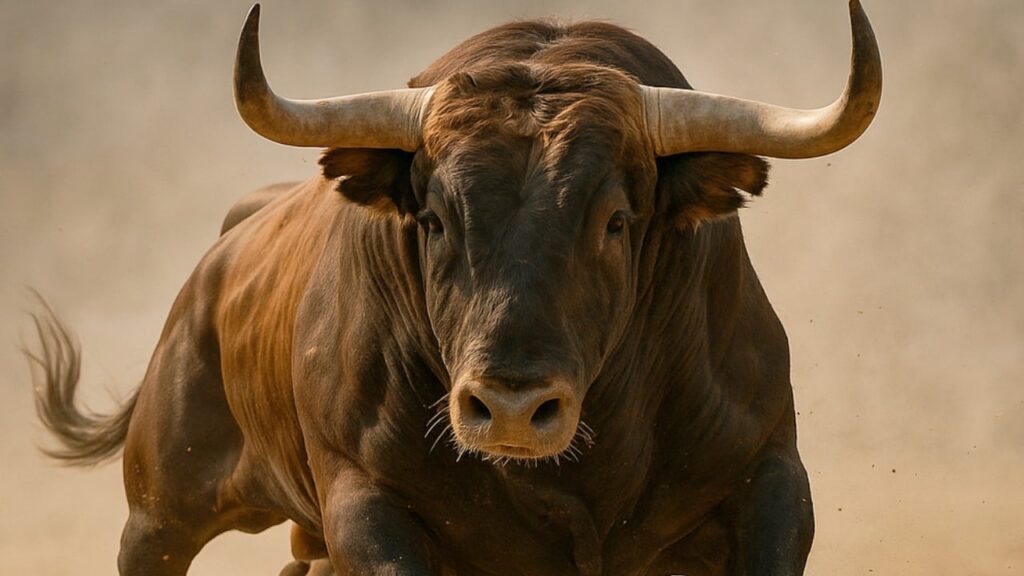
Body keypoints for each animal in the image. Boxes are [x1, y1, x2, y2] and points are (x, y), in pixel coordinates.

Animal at [27, 1, 881, 575]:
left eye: (615, 220)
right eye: (434, 219)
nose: (511, 409)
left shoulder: (773, 479)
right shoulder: (367, 504)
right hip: (158, 517)